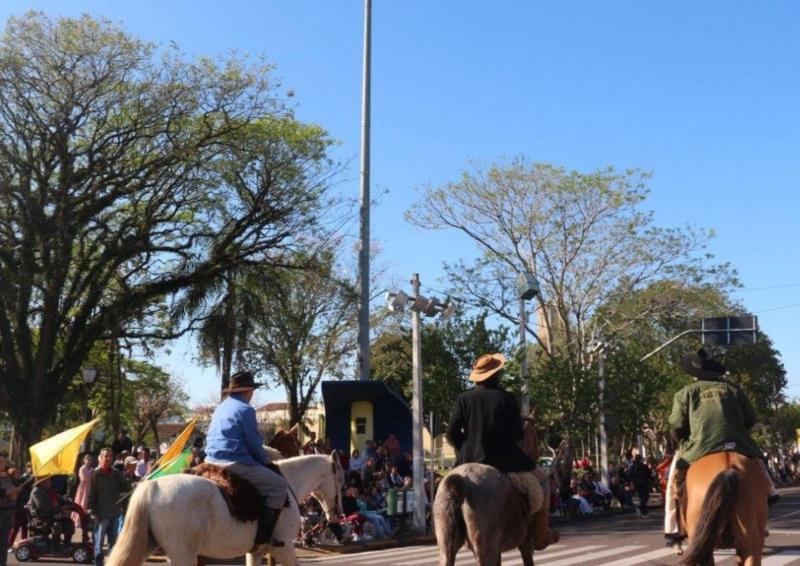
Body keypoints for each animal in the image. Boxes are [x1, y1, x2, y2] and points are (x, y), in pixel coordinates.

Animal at [106, 452, 344, 566]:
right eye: (340, 478)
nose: (337, 515)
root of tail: (153, 486)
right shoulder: (283, 549)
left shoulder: (256, 552)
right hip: (183, 555)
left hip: (151, 545)